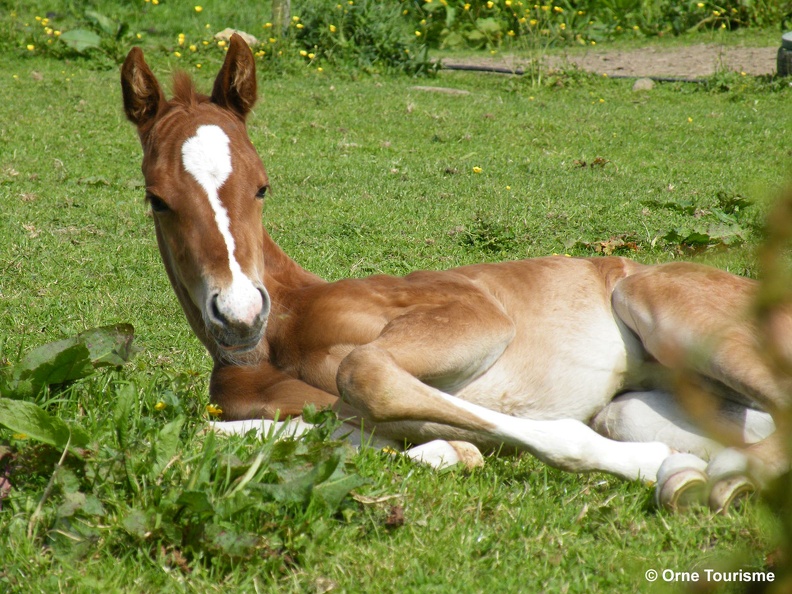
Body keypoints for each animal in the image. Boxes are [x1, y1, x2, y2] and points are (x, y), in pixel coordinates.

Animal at [122, 34, 784, 512]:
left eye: (262, 185)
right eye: (157, 199)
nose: (239, 314)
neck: (280, 334)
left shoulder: (472, 313)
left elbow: (366, 376)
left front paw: (650, 463)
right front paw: (450, 451)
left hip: (665, 305)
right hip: (644, 405)